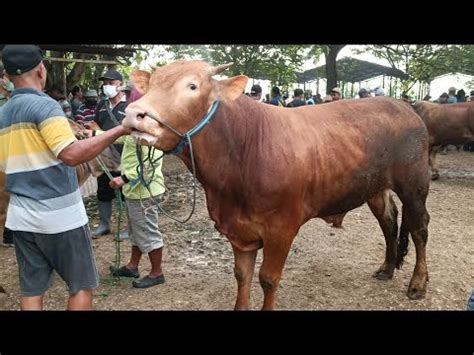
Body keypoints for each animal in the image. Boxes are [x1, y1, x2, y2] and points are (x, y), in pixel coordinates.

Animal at [121, 62, 430, 312]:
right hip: (375, 187)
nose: (133, 113)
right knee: (388, 220)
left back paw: (417, 284)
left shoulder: (282, 228)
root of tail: (405, 106)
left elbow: (268, 279)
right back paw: (387, 268)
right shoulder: (238, 230)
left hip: (414, 185)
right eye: (151, 84)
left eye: (192, 86)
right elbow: (242, 275)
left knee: (419, 229)